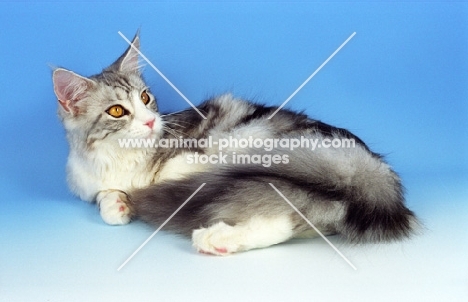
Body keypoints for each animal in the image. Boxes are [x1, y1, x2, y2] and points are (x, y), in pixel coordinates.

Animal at [53, 33, 418, 255]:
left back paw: (214, 236)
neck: (120, 158)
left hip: (256, 142)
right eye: (117, 110)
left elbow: (174, 167)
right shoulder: (91, 182)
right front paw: (117, 204)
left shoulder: (191, 150)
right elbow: (104, 199)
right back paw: (220, 239)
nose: (150, 121)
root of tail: (368, 166)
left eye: (146, 98)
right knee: (290, 222)